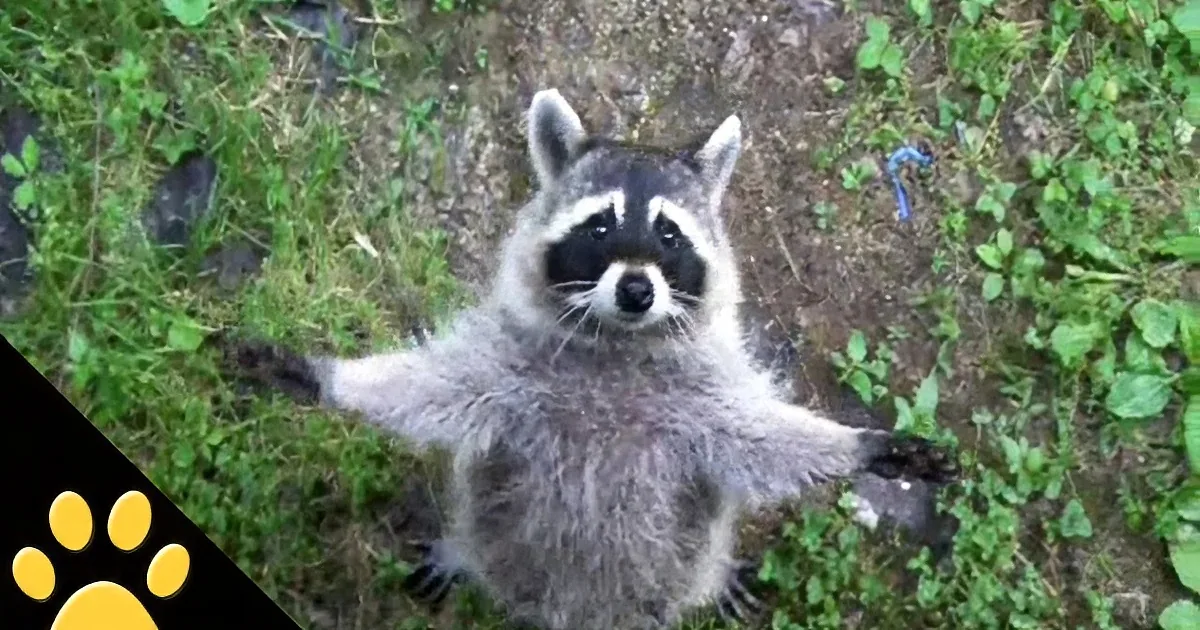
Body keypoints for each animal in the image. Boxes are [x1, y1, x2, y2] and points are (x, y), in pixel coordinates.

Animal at [223, 89, 959, 630]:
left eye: (669, 234)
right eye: (601, 225)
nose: (636, 289)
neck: (617, 344)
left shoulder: (704, 395)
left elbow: (760, 438)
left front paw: (858, 446)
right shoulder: (507, 366)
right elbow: (434, 387)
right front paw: (329, 378)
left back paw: (711, 579)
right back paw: (463, 552)